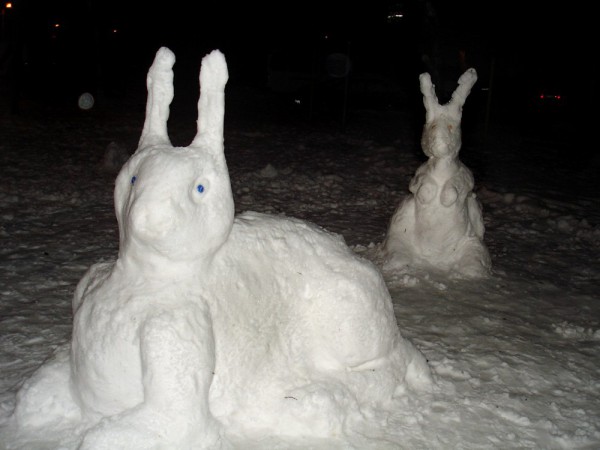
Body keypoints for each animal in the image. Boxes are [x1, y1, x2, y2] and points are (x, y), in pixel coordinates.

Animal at [382, 67, 490, 278]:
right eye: (431, 126)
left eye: (451, 127)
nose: (438, 142)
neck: (440, 168)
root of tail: (434, 262)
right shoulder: (420, 176)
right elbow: (422, 186)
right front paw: (428, 191)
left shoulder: (463, 176)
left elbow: (458, 185)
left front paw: (447, 194)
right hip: (400, 238)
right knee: (398, 255)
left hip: (472, 244)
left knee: (473, 265)